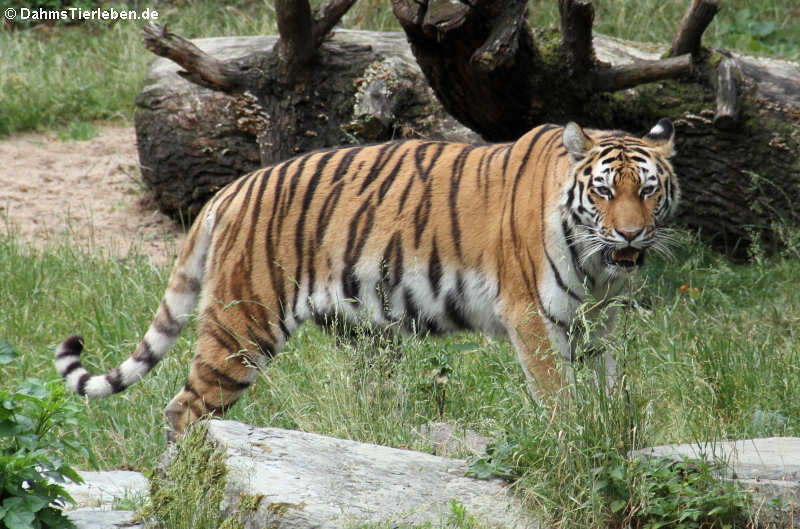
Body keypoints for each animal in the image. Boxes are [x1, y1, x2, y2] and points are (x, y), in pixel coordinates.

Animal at [54, 119, 676, 438]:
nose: (630, 236)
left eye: (647, 190)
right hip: (242, 327)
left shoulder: (601, 321)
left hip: (365, 337)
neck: (599, 268)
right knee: (183, 408)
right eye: (603, 191)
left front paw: (614, 433)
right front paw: (574, 444)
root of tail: (230, 190)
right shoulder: (531, 317)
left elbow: (611, 384)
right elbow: (558, 396)